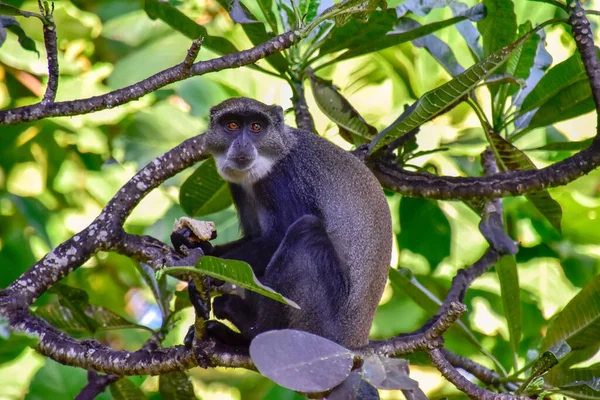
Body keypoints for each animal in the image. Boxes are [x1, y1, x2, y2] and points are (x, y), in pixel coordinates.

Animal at [178, 97, 394, 350]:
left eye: (256, 127)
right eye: (231, 125)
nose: (242, 144)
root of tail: (354, 343)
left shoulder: (283, 179)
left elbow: (277, 236)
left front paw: (202, 269)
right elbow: (254, 237)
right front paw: (190, 242)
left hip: (321, 325)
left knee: (305, 232)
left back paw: (252, 327)